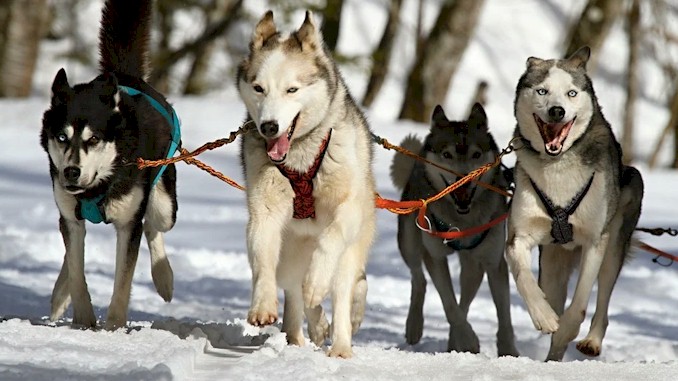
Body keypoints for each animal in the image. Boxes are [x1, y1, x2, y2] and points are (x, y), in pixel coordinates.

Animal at [40, 0, 179, 328]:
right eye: (62, 137)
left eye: (93, 139)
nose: (71, 172)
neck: (98, 187)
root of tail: (124, 76)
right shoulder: (71, 216)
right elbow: (77, 270)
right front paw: (83, 320)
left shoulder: (128, 224)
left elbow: (123, 283)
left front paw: (113, 327)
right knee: (70, 252)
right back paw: (59, 294)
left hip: (164, 204)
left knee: (153, 225)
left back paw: (163, 277)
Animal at [238, 9, 378, 360]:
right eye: (258, 88)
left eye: (292, 90)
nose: (269, 126)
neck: (300, 157)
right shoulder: (264, 211)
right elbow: (262, 260)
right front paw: (262, 305)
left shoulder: (347, 210)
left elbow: (330, 240)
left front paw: (317, 282)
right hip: (289, 255)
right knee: (294, 292)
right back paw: (305, 331)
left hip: (351, 250)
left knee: (342, 290)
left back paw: (340, 345)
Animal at [390, 102, 516, 354]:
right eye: (447, 154)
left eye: (476, 154)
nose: (463, 180)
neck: (462, 221)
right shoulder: (435, 256)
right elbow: (449, 305)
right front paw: (468, 339)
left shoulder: (493, 262)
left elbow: (503, 315)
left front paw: (508, 351)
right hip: (409, 242)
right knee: (418, 279)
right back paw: (414, 326)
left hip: (473, 265)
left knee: (465, 298)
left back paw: (453, 342)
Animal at [508, 46, 644, 360]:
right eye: (542, 91)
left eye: (571, 93)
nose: (557, 111)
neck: (558, 165)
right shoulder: (519, 236)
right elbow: (524, 277)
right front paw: (544, 316)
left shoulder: (595, 240)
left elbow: (580, 303)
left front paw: (567, 329)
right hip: (552, 265)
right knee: (552, 291)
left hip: (615, 244)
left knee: (603, 299)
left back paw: (591, 341)